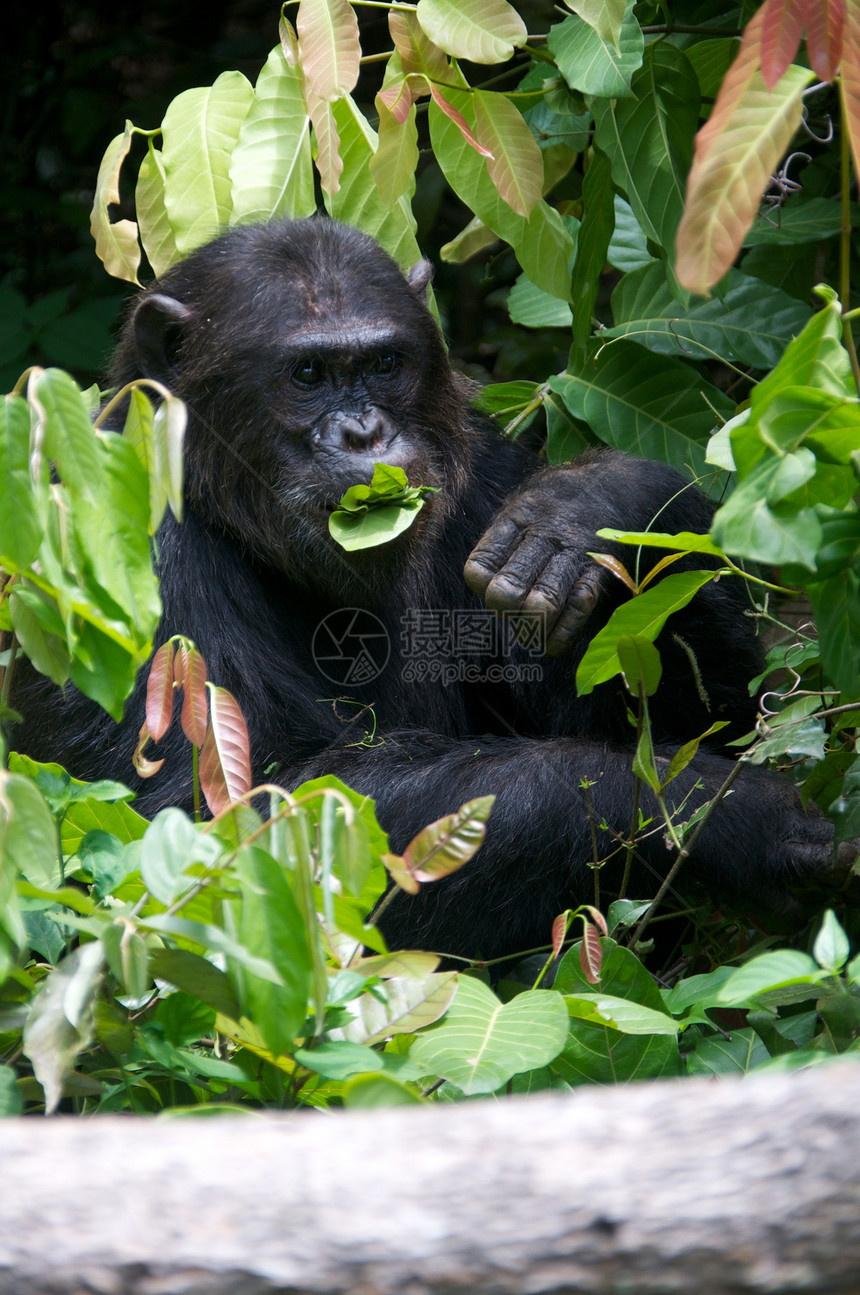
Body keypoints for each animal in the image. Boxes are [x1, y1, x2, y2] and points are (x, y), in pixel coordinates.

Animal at [13, 217, 834, 958]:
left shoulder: (480, 461)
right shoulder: (123, 540)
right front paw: (722, 812)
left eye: (384, 363)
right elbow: (204, 833)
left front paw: (593, 502)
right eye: (307, 375)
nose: (365, 432)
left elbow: (719, 718)